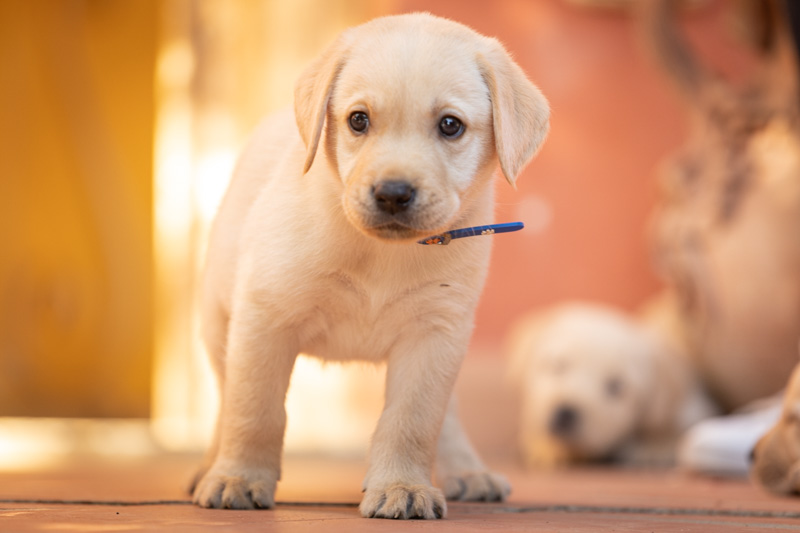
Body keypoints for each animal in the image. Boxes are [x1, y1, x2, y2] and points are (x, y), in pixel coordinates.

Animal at [191, 13, 552, 520]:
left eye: (451, 125)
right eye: (357, 120)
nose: (393, 193)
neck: (382, 253)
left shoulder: (434, 333)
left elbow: (414, 419)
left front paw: (402, 486)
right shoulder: (265, 318)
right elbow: (254, 408)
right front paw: (238, 477)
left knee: (448, 414)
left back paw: (468, 471)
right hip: (216, 323)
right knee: (226, 397)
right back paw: (210, 468)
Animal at [510, 302, 716, 468]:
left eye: (615, 387)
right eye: (558, 366)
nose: (566, 413)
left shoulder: (691, 406)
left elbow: (668, 427)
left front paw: (654, 446)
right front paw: (551, 447)